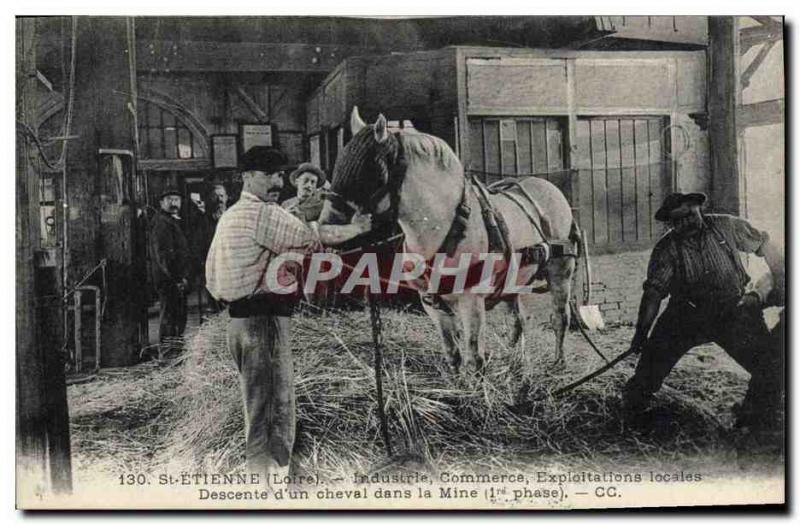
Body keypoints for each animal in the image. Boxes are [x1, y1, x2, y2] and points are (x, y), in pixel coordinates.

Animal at [320, 106, 580, 372]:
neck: (445, 229)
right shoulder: (432, 304)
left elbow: (474, 356)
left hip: (561, 271)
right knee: (518, 319)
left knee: (560, 317)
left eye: (371, 173)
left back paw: (558, 361)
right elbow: (452, 352)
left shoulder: (471, 301)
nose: (325, 229)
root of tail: (549, 187)